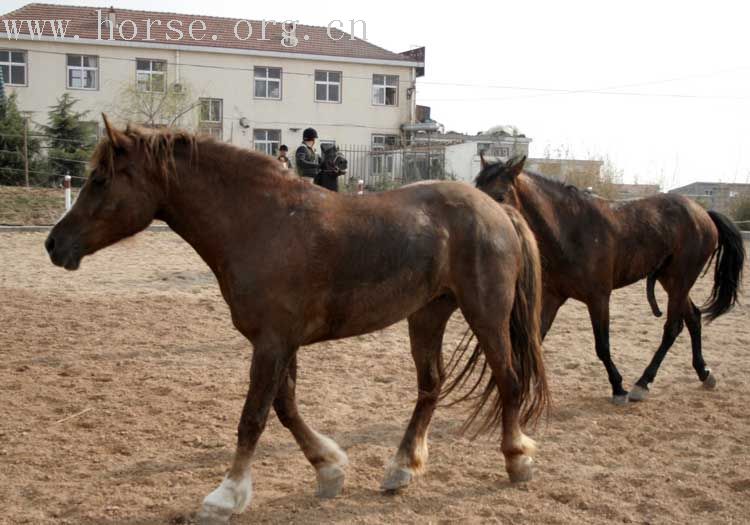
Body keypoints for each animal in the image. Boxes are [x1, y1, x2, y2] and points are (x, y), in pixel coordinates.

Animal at [48, 116, 552, 520]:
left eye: (100, 179)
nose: (55, 244)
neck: (262, 222)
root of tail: (497, 210)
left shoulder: (272, 342)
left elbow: (253, 417)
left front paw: (226, 495)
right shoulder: (280, 343)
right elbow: (285, 409)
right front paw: (329, 469)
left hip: (486, 314)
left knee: (508, 380)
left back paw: (517, 460)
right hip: (428, 314)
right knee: (430, 385)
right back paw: (401, 468)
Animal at [476, 154, 748, 404]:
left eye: (500, 196)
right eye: (477, 189)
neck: (570, 230)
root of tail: (703, 213)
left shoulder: (598, 298)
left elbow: (602, 346)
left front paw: (618, 387)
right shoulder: (553, 298)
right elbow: (536, 337)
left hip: (681, 280)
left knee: (673, 327)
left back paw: (643, 383)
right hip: (671, 281)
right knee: (693, 318)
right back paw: (704, 373)